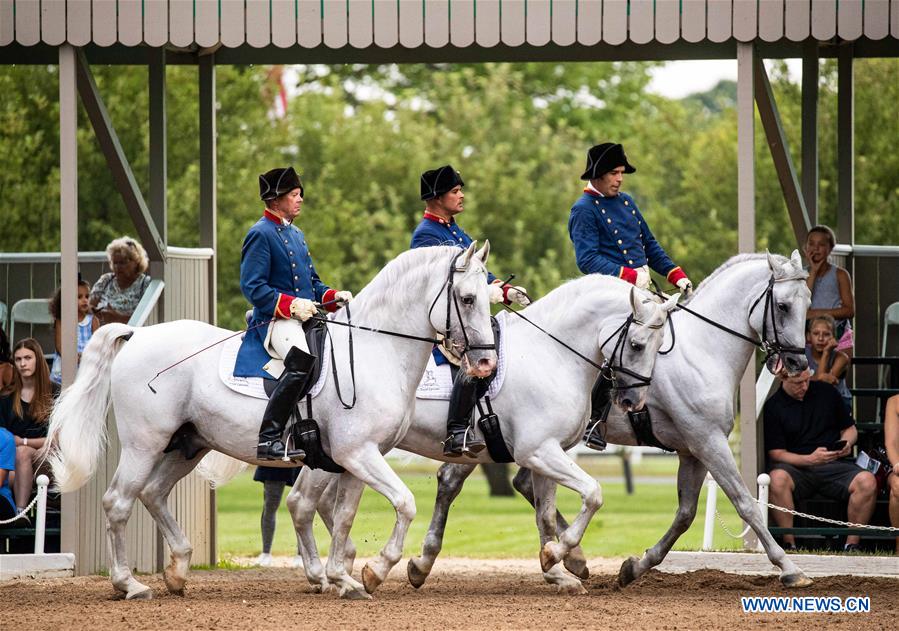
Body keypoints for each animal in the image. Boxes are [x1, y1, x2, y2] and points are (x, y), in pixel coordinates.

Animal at [44, 244, 500, 600]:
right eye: (466, 299)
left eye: (487, 296)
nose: (485, 363)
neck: (375, 350)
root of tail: (138, 335)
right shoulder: (358, 454)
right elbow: (404, 502)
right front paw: (375, 569)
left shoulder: (356, 458)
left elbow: (345, 516)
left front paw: (344, 578)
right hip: (145, 444)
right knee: (118, 502)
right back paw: (130, 584)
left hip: (189, 445)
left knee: (153, 493)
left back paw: (178, 570)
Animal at [284, 274, 680, 596]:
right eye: (638, 345)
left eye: (662, 343)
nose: (632, 401)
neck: (550, 354)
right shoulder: (539, 452)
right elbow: (594, 494)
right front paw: (559, 555)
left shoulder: (547, 454)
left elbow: (546, 515)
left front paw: (555, 566)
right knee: (309, 502)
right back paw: (338, 572)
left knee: (312, 502)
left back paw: (336, 571)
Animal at [412, 249, 820, 592]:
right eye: (783, 306)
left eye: (808, 302)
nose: (798, 364)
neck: (702, 348)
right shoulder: (707, 441)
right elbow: (745, 503)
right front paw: (789, 568)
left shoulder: (692, 450)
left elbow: (685, 514)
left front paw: (635, 567)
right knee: (462, 481)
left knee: (485, 482)